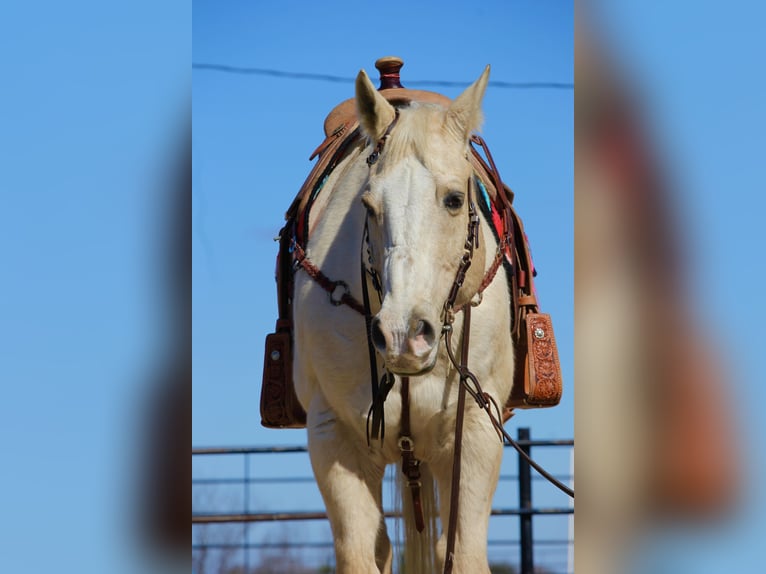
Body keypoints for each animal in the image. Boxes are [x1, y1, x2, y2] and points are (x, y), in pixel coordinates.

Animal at [294, 65, 516, 572]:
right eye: (369, 206)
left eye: (454, 199)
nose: (402, 335)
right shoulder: (334, 437)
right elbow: (361, 555)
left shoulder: (477, 433)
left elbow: (462, 554)